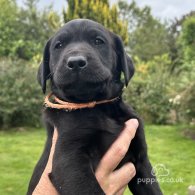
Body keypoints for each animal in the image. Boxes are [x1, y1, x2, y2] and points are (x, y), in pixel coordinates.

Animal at [26, 18, 162, 195]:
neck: (99, 107)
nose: (75, 62)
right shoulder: (69, 159)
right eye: (59, 45)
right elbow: (91, 189)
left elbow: (153, 188)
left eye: (98, 41)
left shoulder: (141, 160)